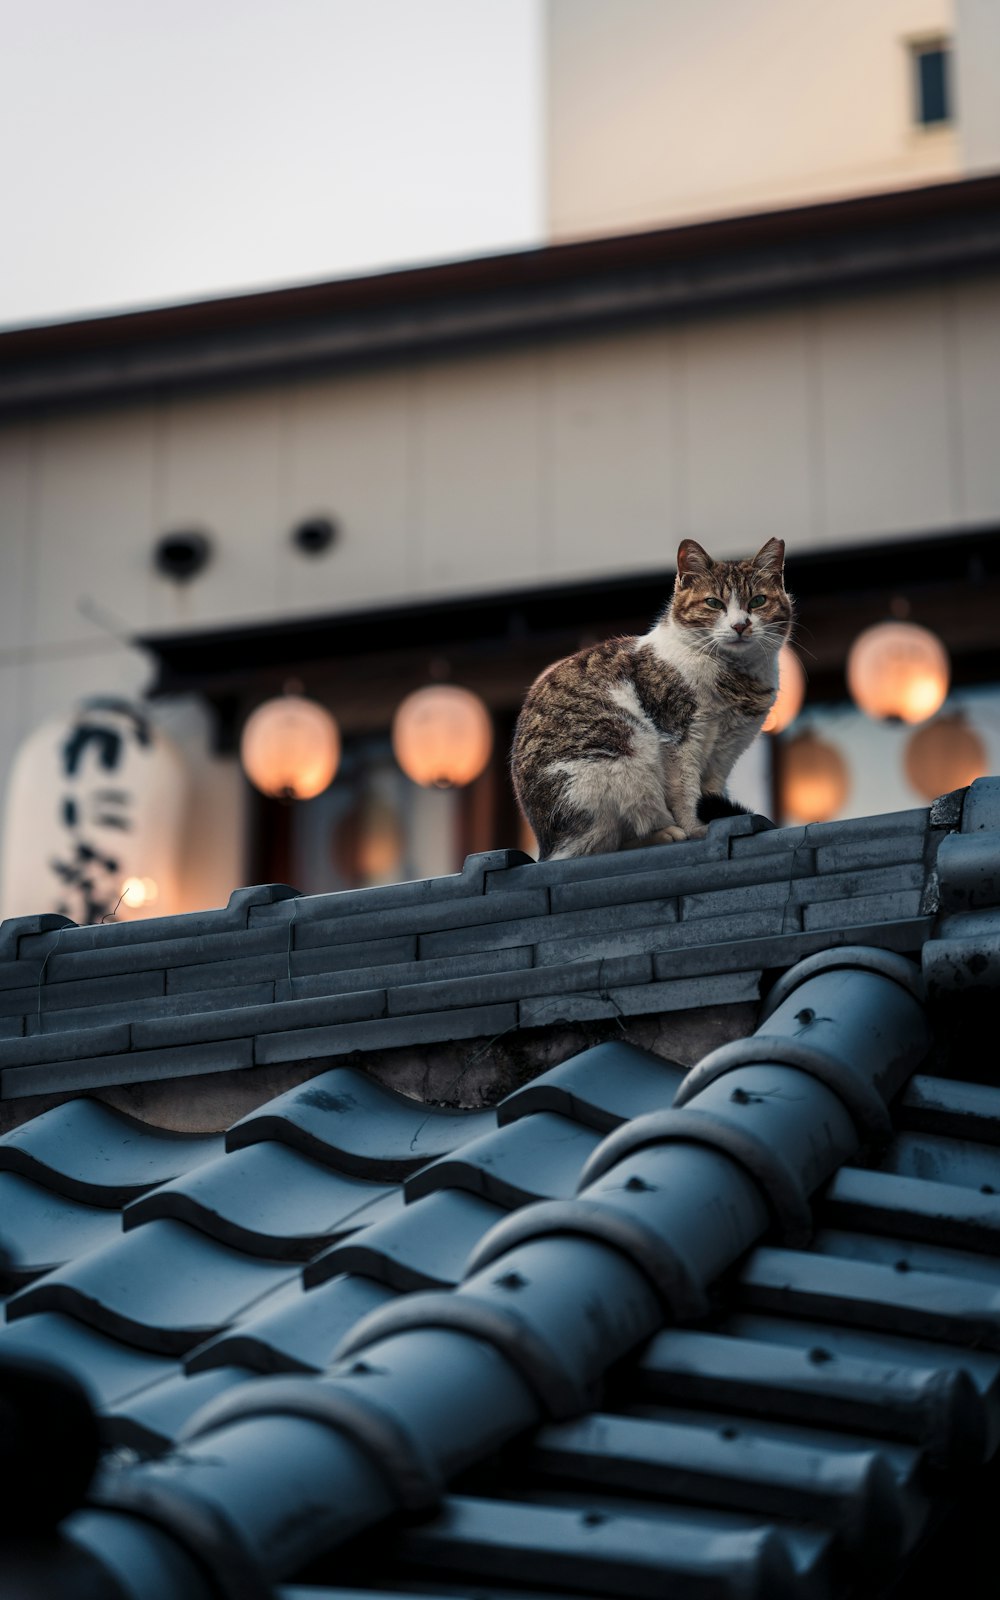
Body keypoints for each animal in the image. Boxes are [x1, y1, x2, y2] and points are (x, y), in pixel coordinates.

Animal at [512, 537, 790, 864]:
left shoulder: (724, 752)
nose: (740, 625)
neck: (735, 678)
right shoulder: (679, 739)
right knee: (600, 844)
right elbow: (685, 793)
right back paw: (665, 833)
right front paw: (697, 829)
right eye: (714, 603)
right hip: (622, 756)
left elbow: (709, 792)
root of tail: (546, 846)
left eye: (757, 601)